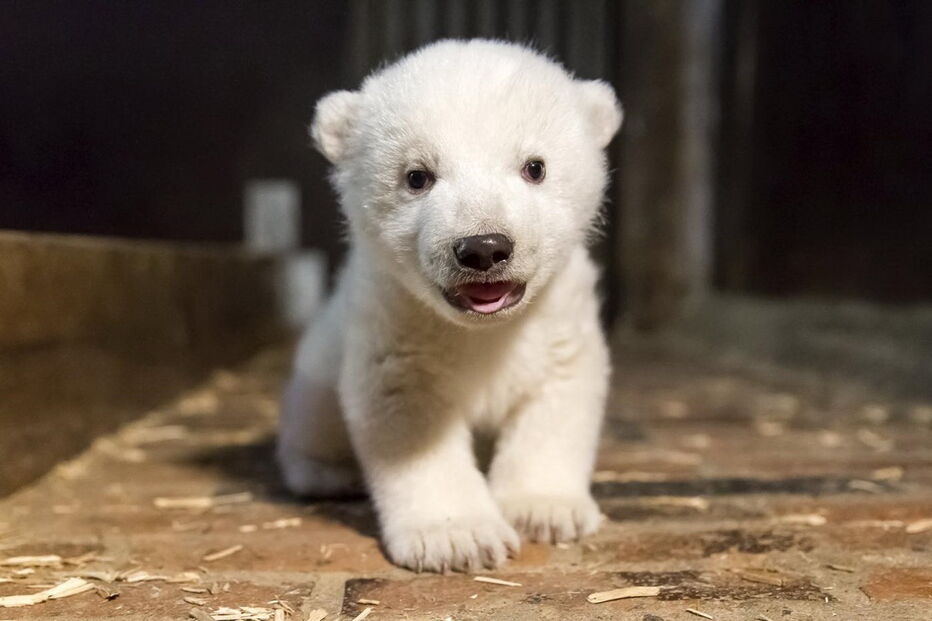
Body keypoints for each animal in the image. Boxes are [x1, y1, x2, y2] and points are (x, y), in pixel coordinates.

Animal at [277, 39, 622, 573]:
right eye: (417, 176)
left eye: (535, 166)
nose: (483, 247)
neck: (483, 329)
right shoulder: (396, 322)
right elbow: (409, 416)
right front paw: (458, 538)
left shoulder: (559, 318)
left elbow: (557, 397)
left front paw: (544, 510)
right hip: (317, 372)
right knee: (311, 421)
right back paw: (327, 474)